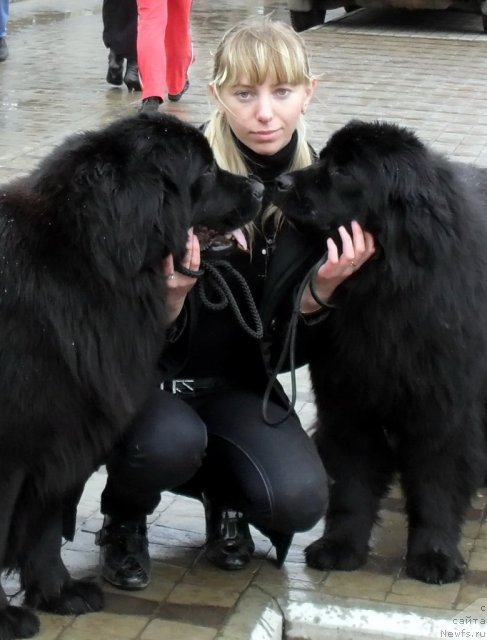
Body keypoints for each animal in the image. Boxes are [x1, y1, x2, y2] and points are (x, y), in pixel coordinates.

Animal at [0, 112, 264, 636]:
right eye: (205, 171)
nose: (261, 186)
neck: (90, 260)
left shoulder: (61, 436)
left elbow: (43, 528)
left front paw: (58, 592)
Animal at [274, 120, 487, 584]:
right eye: (322, 157)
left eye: (342, 170)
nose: (279, 181)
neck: (384, 288)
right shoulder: (348, 400)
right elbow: (351, 482)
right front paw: (340, 546)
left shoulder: (442, 408)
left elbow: (437, 483)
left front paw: (434, 554)